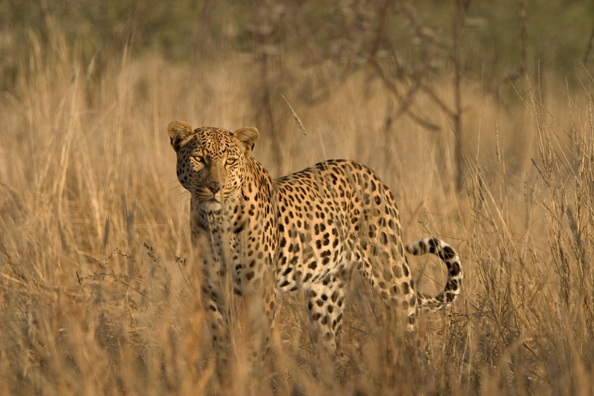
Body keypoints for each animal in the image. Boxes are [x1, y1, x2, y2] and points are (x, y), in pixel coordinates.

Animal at [166, 119, 462, 358]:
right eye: (199, 159)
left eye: (230, 161)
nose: (215, 187)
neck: (217, 221)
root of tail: (370, 172)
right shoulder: (212, 290)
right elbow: (222, 341)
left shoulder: (260, 291)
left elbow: (255, 344)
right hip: (326, 293)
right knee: (330, 349)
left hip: (391, 275)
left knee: (414, 332)